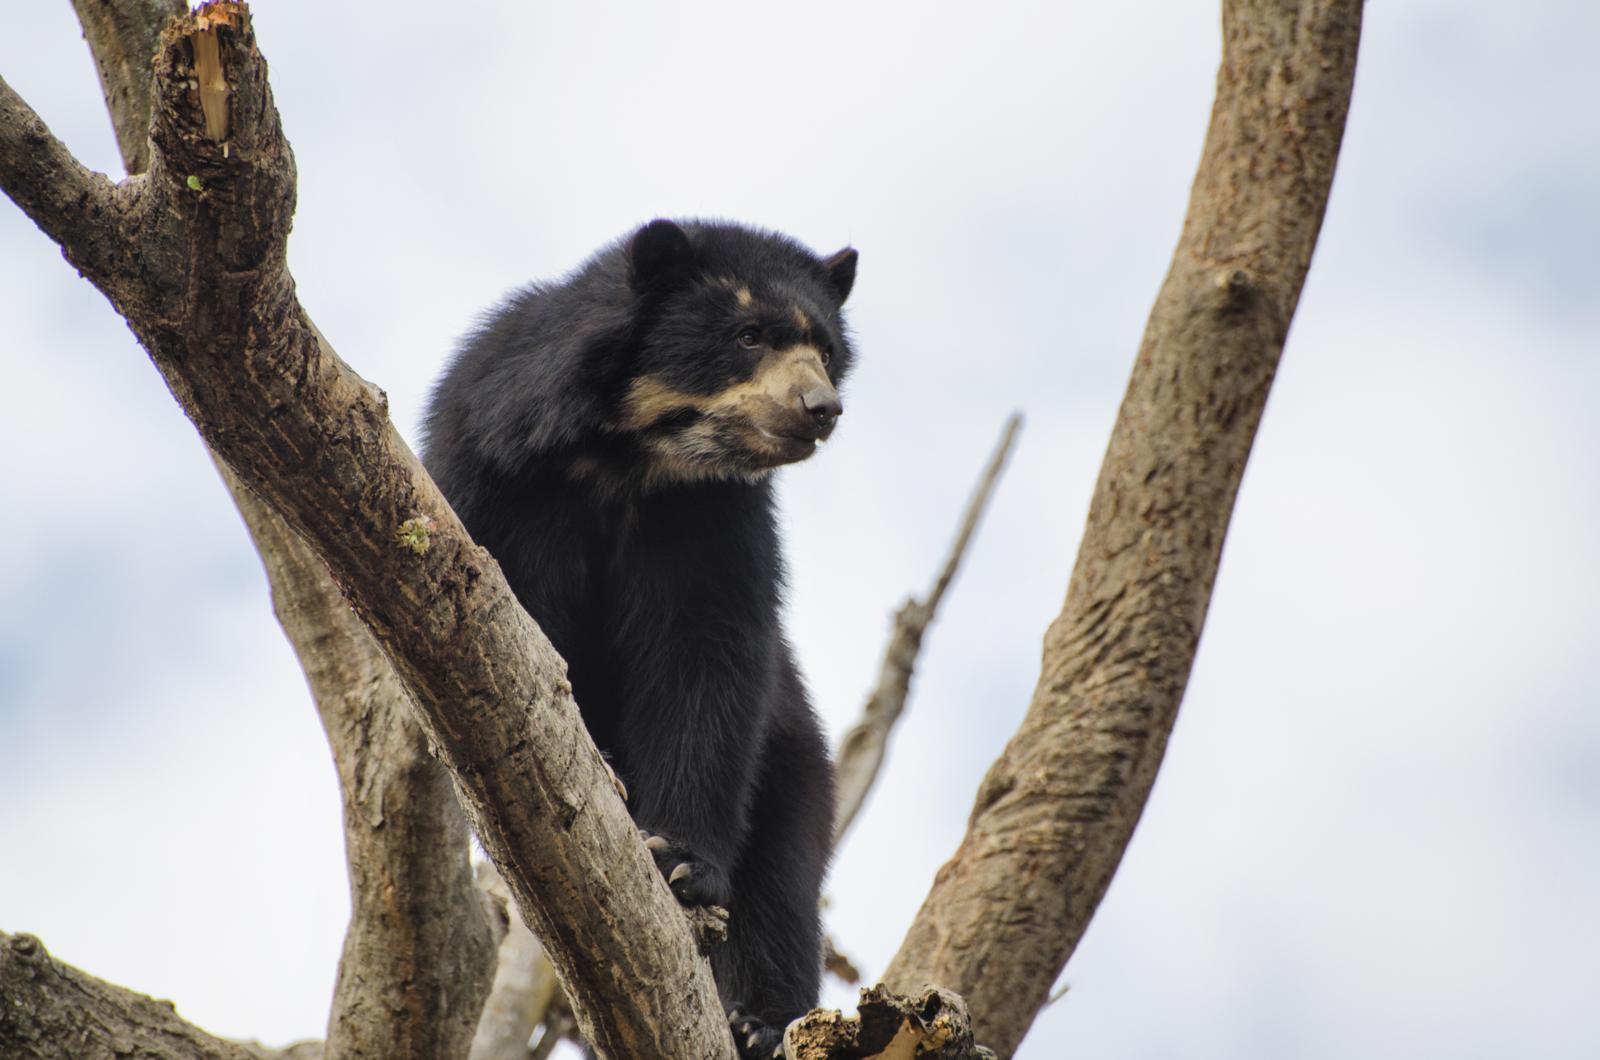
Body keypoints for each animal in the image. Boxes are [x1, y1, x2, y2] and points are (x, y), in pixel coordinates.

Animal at [419, 219, 857, 1056]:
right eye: (749, 335)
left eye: (824, 347)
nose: (822, 407)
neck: (628, 457)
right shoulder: (493, 478)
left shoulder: (711, 515)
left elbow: (706, 658)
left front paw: (682, 863)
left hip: (796, 760)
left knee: (784, 880)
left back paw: (760, 1021)